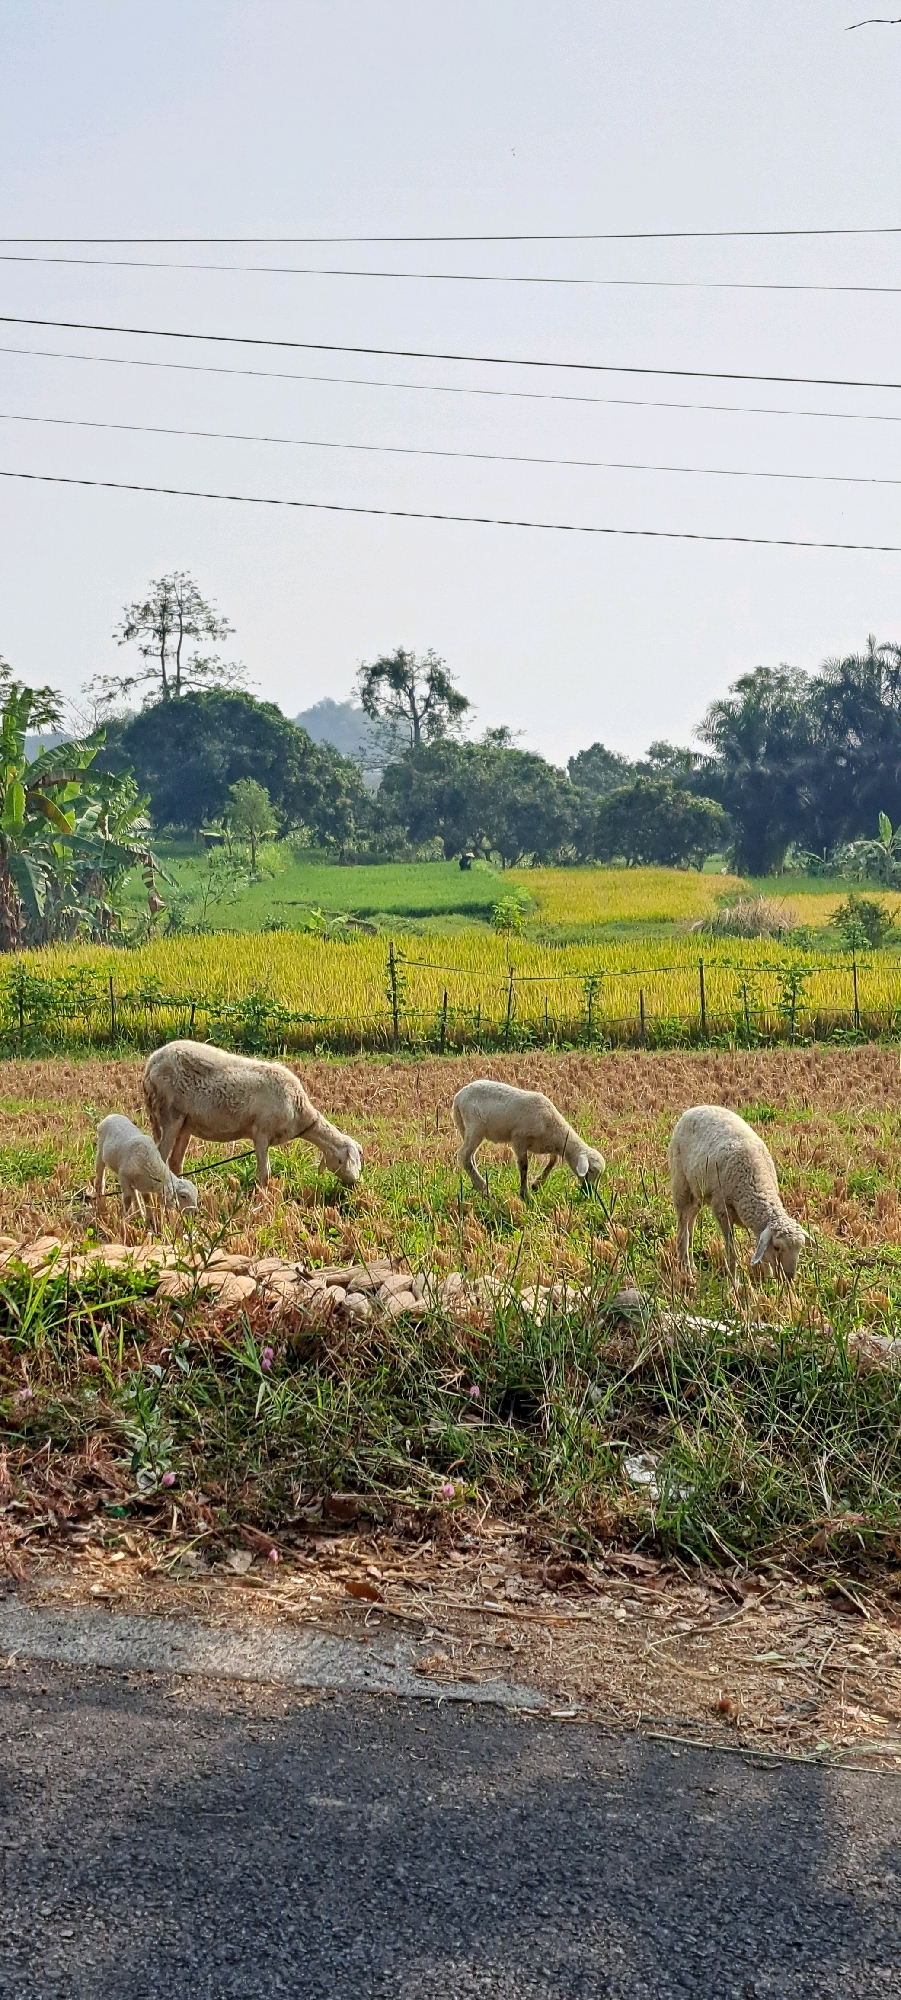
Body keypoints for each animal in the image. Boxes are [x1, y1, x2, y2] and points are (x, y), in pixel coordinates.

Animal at [142, 1039, 362, 1189]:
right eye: (343, 1161)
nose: (354, 1183)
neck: (300, 1112)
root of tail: (151, 1064)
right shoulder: (262, 1132)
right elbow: (264, 1174)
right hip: (169, 1114)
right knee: (160, 1159)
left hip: (185, 1122)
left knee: (175, 1162)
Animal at [452, 1079, 604, 1199]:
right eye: (591, 1170)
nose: (590, 1193)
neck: (554, 1128)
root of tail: (458, 1098)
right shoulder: (519, 1138)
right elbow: (524, 1166)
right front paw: (524, 1194)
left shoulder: (548, 1144)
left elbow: (553, 1161)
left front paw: (537, 1184)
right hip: (475, 1127)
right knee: (464, 1155)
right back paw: (483, 1187)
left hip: (464, 1128)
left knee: (470, 1157)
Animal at [668, 1105, 806, 1281]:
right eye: (777, 1247)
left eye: (799, 1249)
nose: (789, 1277)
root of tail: (694, 1108)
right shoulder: (722, 1210)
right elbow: (732, 1252)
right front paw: (734, 1282)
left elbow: (760, 1247)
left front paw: (767, 1278)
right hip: (682, 1186)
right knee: (682, 1229)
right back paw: (686, 1271)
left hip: (697, 1192)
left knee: (690, 1223)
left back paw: (691, 1265)